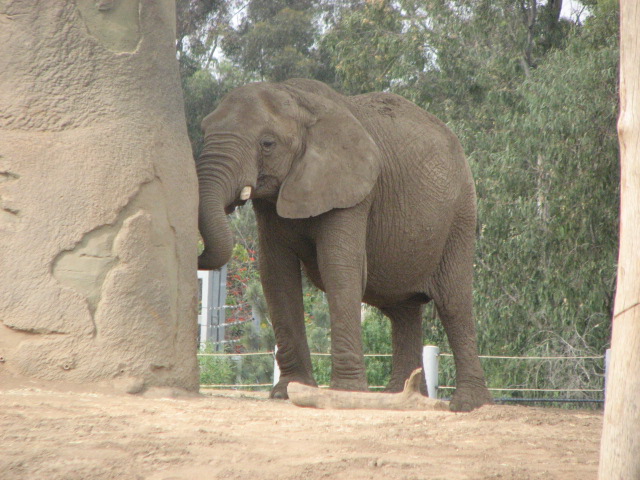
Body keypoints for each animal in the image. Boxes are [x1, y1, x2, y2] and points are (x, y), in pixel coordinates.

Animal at [197, 78, 493, 412]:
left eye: (267, 144)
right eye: (203, 133)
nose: (198, 253)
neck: (297, 99)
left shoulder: (354, 192)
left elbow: (338, 268)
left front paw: (346, 393)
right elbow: (276, 275)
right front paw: (285, 392)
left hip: (460, 215)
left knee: (454, 303)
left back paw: (467, 404)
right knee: (403, 310)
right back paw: (399, 397)